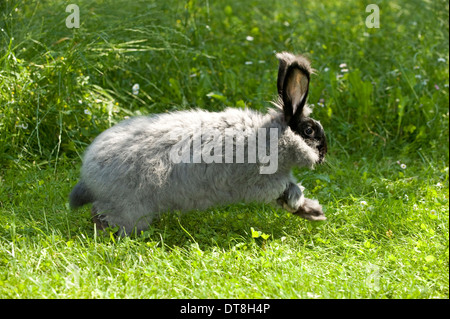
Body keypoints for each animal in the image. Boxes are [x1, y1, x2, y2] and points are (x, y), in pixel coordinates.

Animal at [71, 52, 330, 235]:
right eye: (309, 130)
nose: (324, 154)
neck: (273, 137)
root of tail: (88, 175)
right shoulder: (265, 182)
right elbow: (289, 193)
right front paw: (314, 211)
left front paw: (315, 213)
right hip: (129, 206)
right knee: (103, 215)